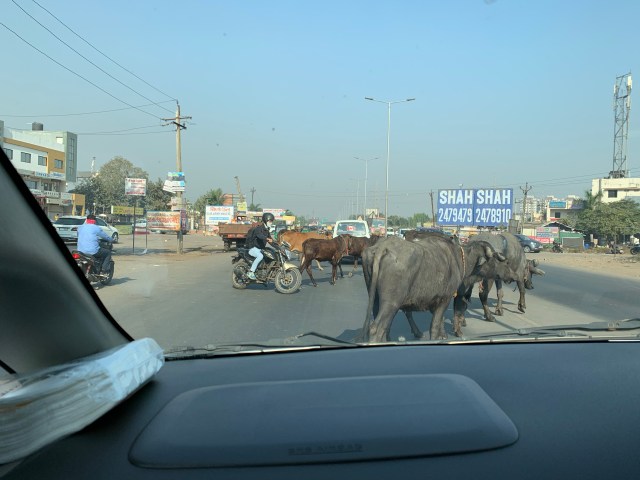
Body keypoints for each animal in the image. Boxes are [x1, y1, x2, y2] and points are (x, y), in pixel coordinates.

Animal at [360, 235, 506, 342]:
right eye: (494, 258)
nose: (503, 273)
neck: (458, 258)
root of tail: (382, 247)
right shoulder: (445, 299)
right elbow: (435, 325)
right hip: (392, 303)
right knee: (377, 328)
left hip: (376, 299)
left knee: (385, 326)